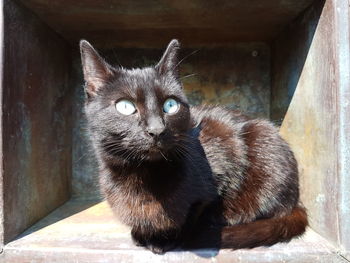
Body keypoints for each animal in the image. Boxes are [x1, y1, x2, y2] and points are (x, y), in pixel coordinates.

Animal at [80, 39, 308, 256]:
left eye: (170, 105)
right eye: (125, 106)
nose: (156, 129)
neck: (140, 174)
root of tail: (296, 199)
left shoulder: (219, 164)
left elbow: (191, 214)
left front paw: (164, 240)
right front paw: (142, 234)